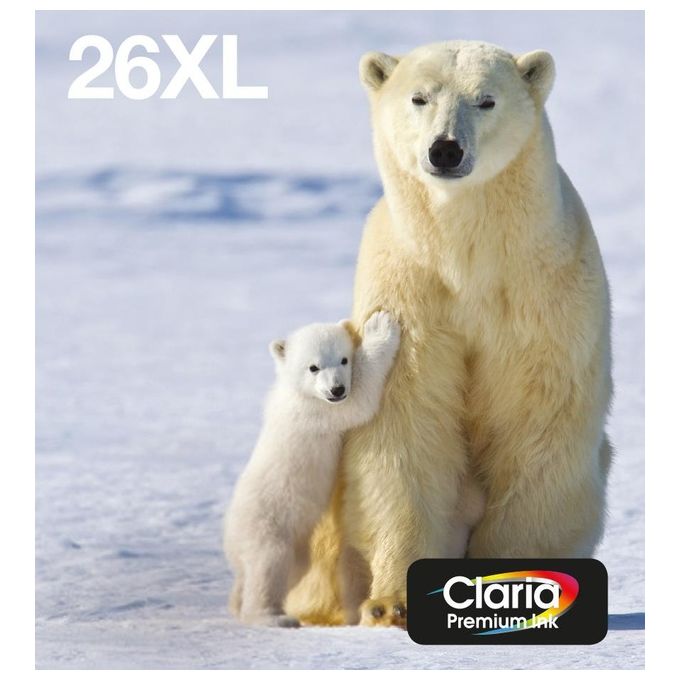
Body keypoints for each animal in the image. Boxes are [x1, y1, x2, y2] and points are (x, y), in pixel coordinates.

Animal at [224, 311, 400, 627]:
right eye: (313, 367)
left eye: (343, 359)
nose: (337, 389)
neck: (295, 392)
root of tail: (231, 542)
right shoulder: (317, 412)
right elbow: (359, 401)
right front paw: (379, 327)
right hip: (266, 526)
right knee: (268, 565)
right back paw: (274, 617)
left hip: (296, 547)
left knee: (290, 570)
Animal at [285, 40, 613, 627]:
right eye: (419, 97)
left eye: (486, 100)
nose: (445, 150)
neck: (468, 256)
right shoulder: (411, 292)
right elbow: (407, 426)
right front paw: (392, 603)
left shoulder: (542, 295)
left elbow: (536, 423)